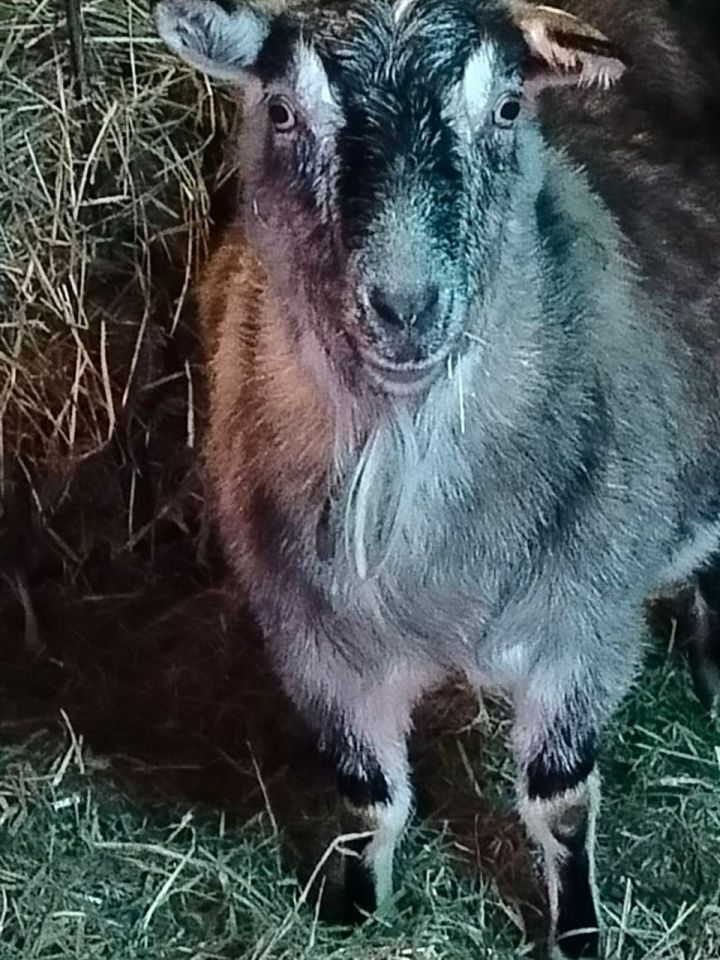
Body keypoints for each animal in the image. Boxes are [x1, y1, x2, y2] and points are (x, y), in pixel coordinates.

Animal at [154, 1, 720, 957]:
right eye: (282, 112)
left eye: (508, 110)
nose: (405, 307)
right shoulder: (316, 639)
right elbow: (366, 797)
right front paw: (355, 908)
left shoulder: (583, 623)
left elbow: (561, 802)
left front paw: (576, 931)